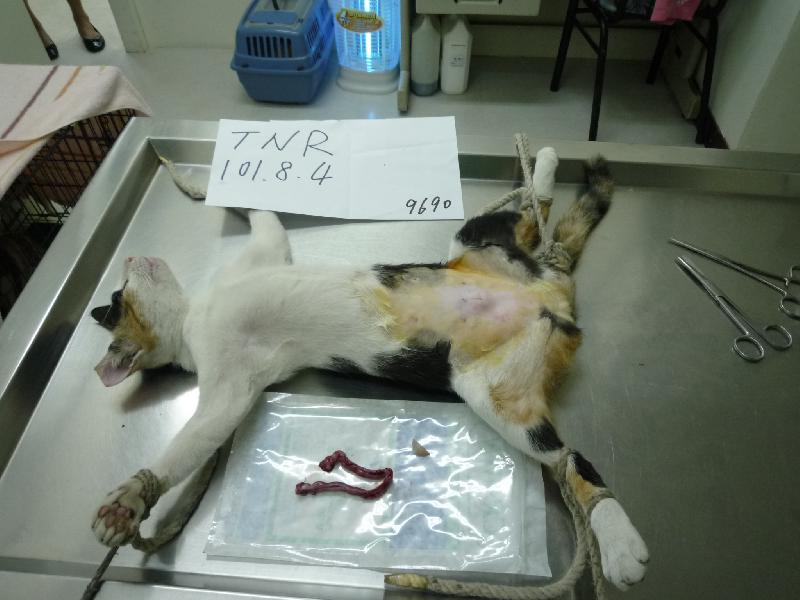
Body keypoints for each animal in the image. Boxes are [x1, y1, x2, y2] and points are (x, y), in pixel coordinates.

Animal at [89, 155, 648, 591]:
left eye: (115, 299)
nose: (131, 258)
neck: (194, 316)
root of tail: (550, 293)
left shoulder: (260, 260)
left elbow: (263, 213)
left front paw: (195, 181)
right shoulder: (229, 384)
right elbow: (200, 434)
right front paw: (134, 498)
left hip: (472, 246)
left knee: (531, 210)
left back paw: (545, 166)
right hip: (491, 390)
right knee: (569, 459)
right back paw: (620, 542)